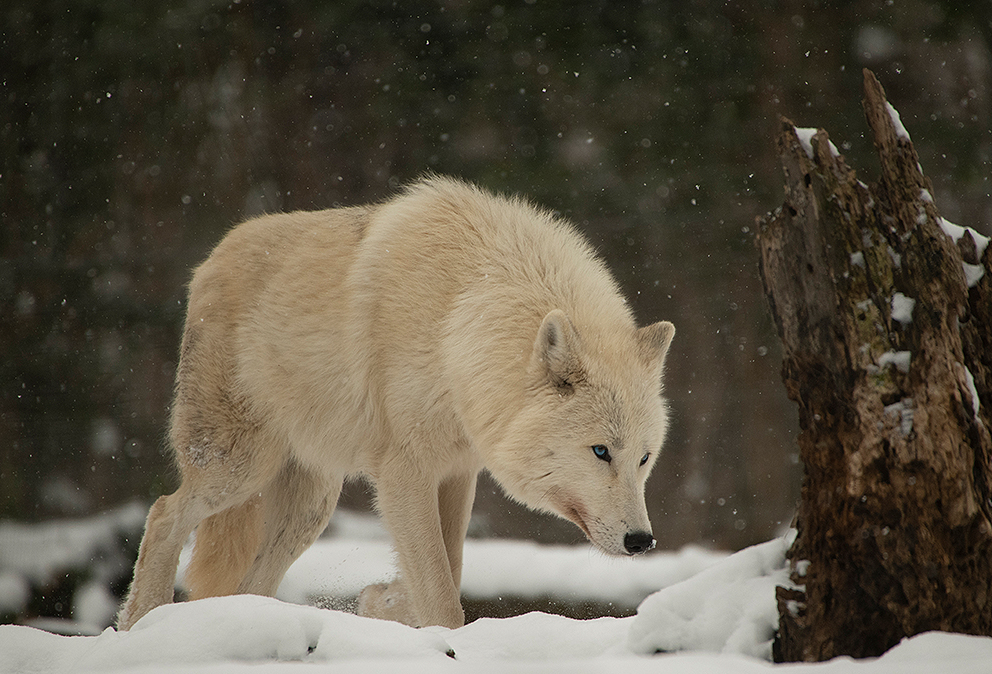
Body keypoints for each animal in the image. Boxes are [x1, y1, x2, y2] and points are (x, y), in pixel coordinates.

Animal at [116, 176, 676, 628]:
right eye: (601, 452)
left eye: (644, 458)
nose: (642, 541)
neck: (458, 324)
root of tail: (211, 258)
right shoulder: (404, 473)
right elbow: (443, 594)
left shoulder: (457, 472)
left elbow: (448, 568)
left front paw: (382, 603)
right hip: (240, 467)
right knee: (164, 513)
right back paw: (140, 623)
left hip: (311, 506)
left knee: (249, 582)